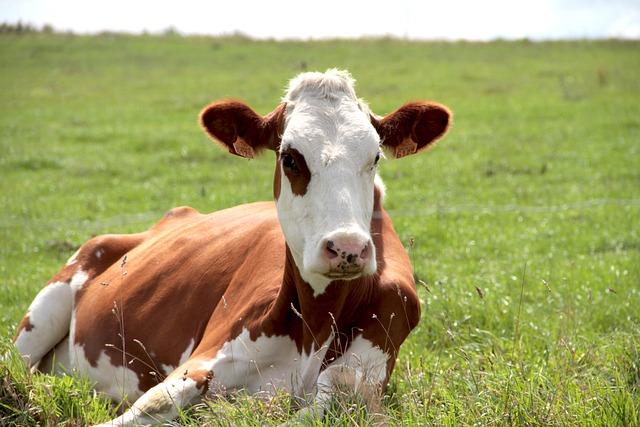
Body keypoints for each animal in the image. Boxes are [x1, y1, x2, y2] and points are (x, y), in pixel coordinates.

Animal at [11, 68, 450, 426]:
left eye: (374, 157)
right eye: (290, 158)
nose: (347, 248)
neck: (316, 322)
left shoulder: (358, 378)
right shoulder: (202, 362)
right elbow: (152, 404)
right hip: (41, 316)